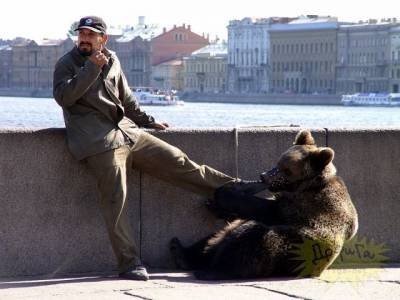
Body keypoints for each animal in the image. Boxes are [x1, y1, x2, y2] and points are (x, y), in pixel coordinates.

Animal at [170, 130, 358, 280]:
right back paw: (181, 252)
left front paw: (224, 195)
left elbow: (266, 209)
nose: (264, 176)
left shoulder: (307, 205)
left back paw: (214, 270)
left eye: (287, 169)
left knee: (251, 239)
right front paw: (214, 204)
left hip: (294, 250)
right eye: (278, 161)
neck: (305, 185)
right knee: (217, 236)